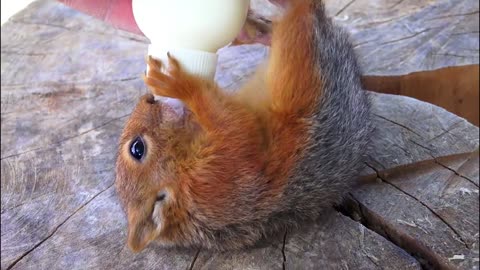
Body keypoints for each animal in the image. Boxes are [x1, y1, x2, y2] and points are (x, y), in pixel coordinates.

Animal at [115, 0, 372, 253]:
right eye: (137, 149)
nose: (147, 99)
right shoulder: (220, 176)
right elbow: (238, 128)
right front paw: (183, 85)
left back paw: (252, 29)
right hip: (304, 57)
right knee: (301, 14)